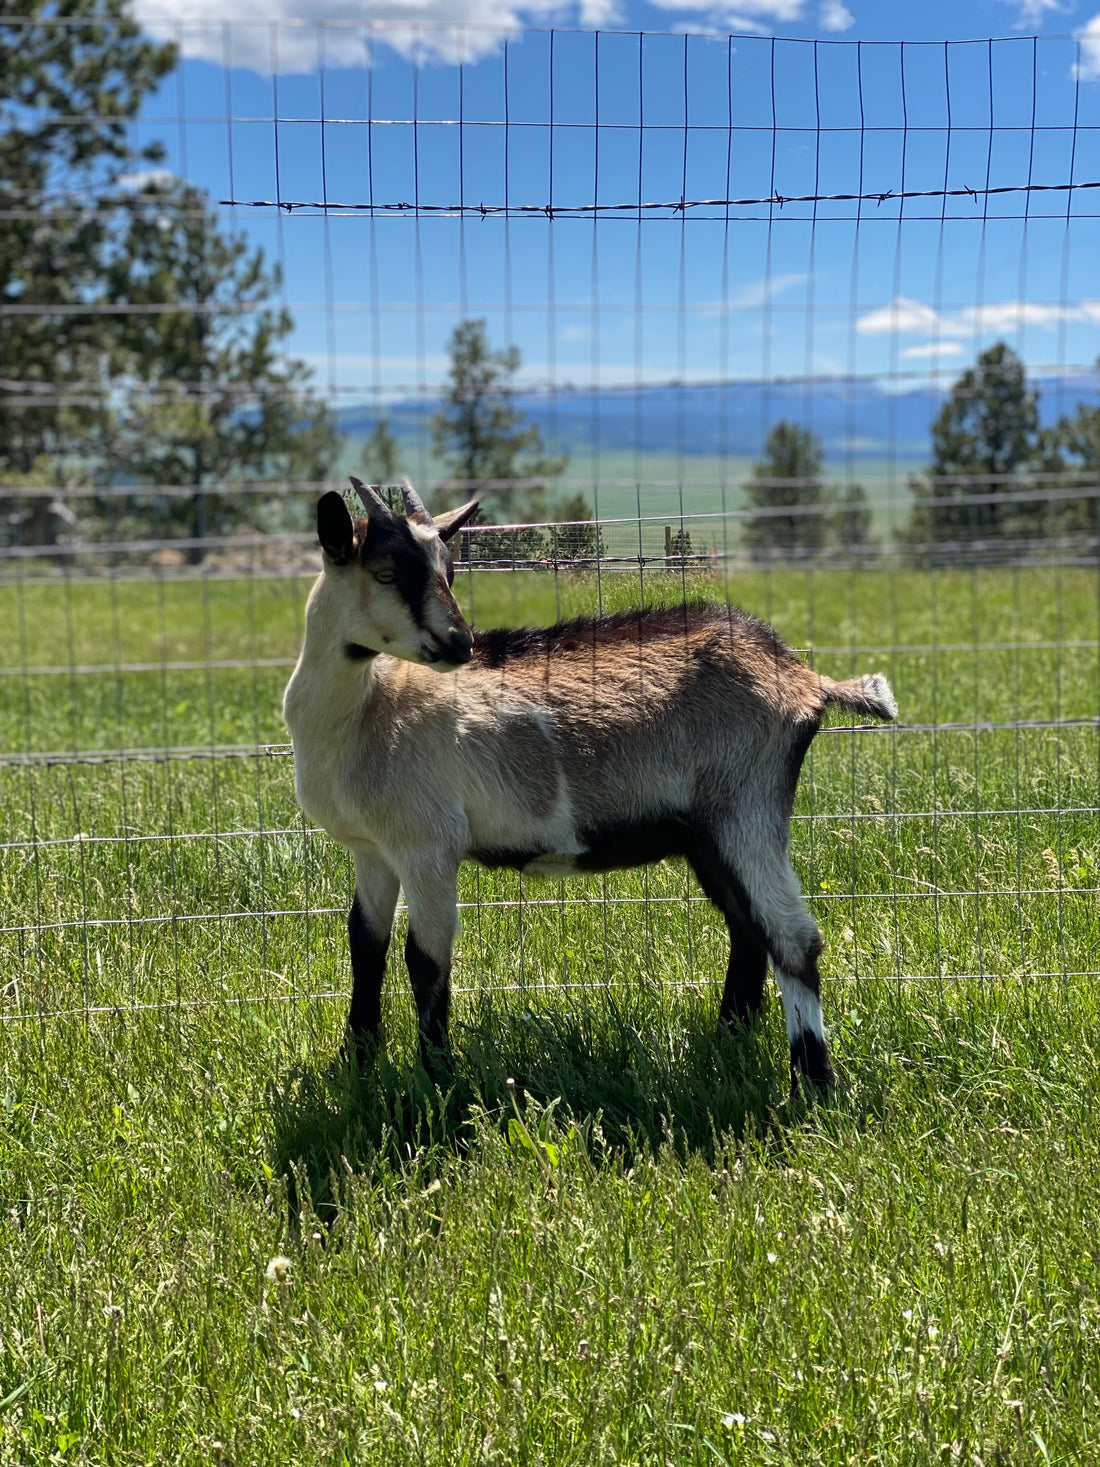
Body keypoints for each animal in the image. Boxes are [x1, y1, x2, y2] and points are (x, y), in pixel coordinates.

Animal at [280, 481, 897, 1091]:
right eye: (385, 572)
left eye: (449, 571)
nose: (460, 643)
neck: (367, 709)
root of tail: (802, 676)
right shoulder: (373, 852)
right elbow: (367, 946)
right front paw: (356, 1066)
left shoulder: (428, 845)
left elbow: (425, 961)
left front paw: (439, 1088)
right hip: (706, 836)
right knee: (748, 929)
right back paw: (726, 1046)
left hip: (747, 809)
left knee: (794, 939)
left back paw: (813, 1087)